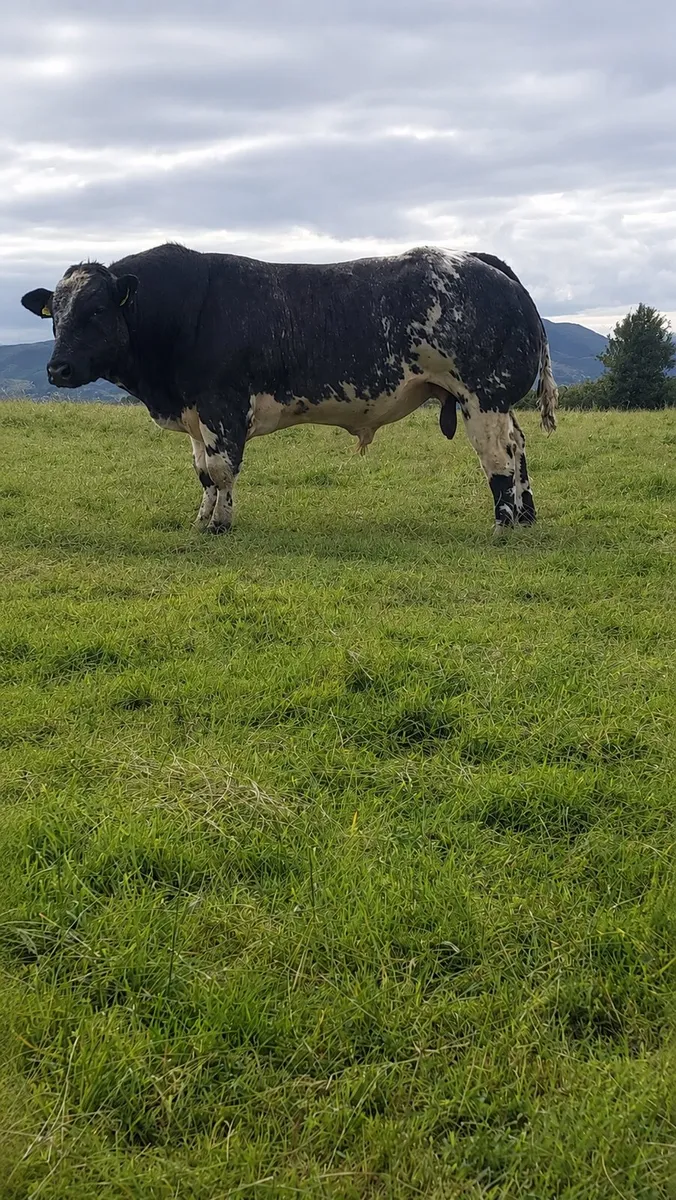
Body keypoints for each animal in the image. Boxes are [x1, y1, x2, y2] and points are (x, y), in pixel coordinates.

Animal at [21, 243, 557, 533]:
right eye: (56, 315)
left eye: (96, 310)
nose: (57, 369)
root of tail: (476, 260)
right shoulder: (195, 414)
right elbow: (203, 474)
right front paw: (202, 520)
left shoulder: (221, 406)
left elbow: (222, 470)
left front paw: (220, 526)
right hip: (495, 402)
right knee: (519, 446)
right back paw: (527, 516)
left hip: (482, 398)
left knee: (498, 459)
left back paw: (504, 522)